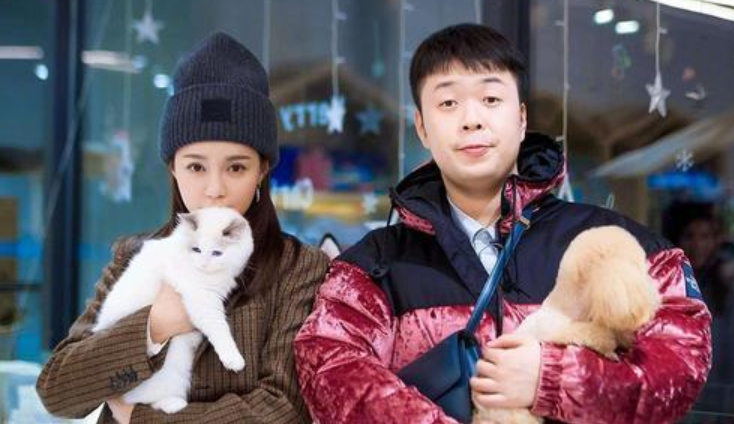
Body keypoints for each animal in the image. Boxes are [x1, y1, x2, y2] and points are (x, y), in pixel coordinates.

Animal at [92, 206, 254, 414]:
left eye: (217, 253)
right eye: (196, 249)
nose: (203, 264)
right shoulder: (203, 301)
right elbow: (220, 330)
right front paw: (233, 360)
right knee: (142, 400)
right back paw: (174, 404)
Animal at [475, 225, 661, 424]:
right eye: (638, 264)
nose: (655, 293)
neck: (569, 306)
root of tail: (480, 412)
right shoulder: (561, 330)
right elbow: (590, 333)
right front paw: (609, 348)